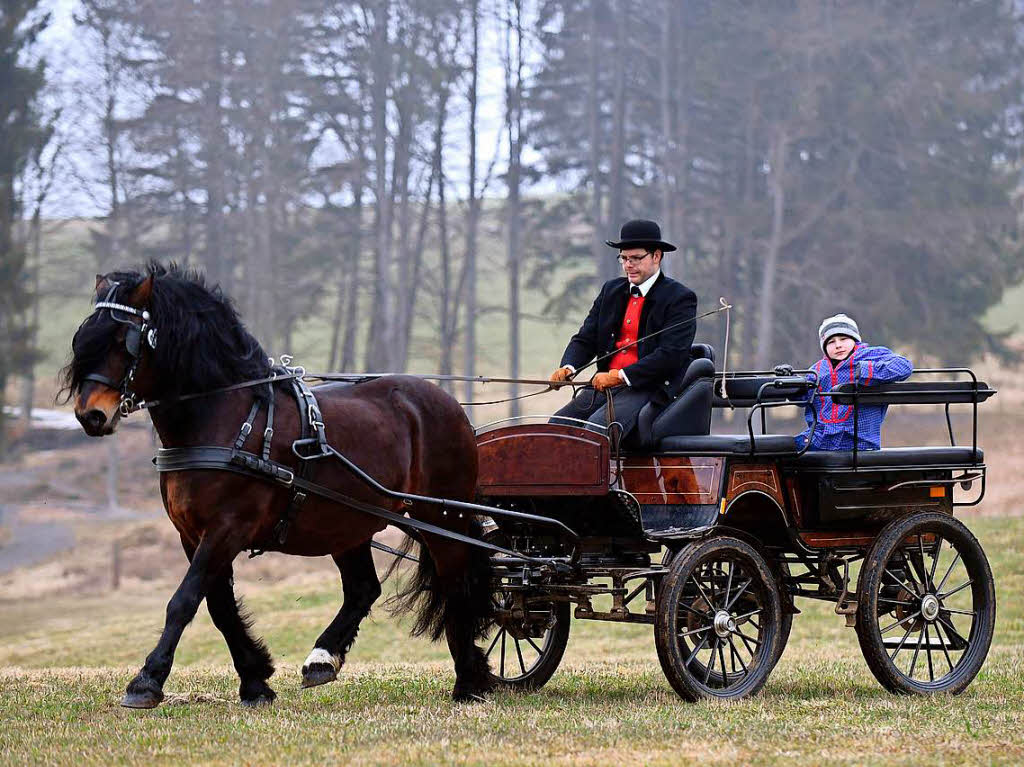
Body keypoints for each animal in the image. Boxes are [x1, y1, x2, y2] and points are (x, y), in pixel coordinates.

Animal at [58, 262, 491, 704]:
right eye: (83, 337)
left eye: (122, 341)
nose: (90, 415)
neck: (222, 417)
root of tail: (448, 402)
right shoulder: (192, 534)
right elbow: (218, 607)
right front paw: (255, 680)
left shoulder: (228, 527)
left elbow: (184, 600)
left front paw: (147, 680)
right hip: (350, 521)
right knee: (363, 589)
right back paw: (323, 659)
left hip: (441, 516)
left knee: (456, 583)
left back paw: (468, 681)